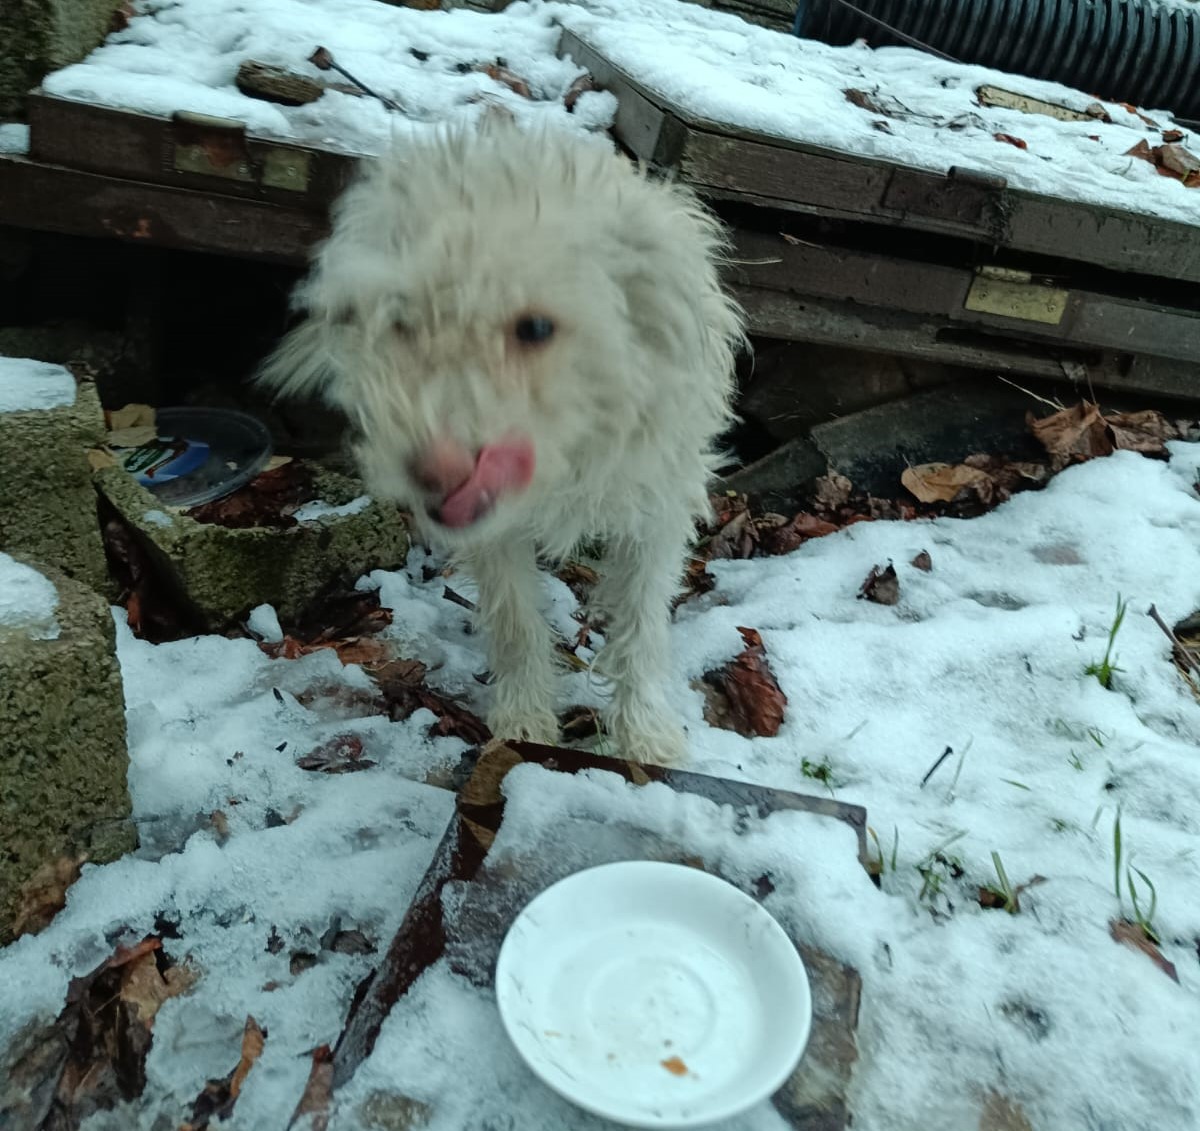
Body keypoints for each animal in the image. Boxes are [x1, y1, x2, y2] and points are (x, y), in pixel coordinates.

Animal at [259, 117, 744, 768]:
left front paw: (644, 733)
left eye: (536, 327)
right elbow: (515, 621)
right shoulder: (494, 532)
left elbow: (642, 621)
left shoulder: (658, 502)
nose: (433, 471)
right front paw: (524, 722)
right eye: (402, 322)